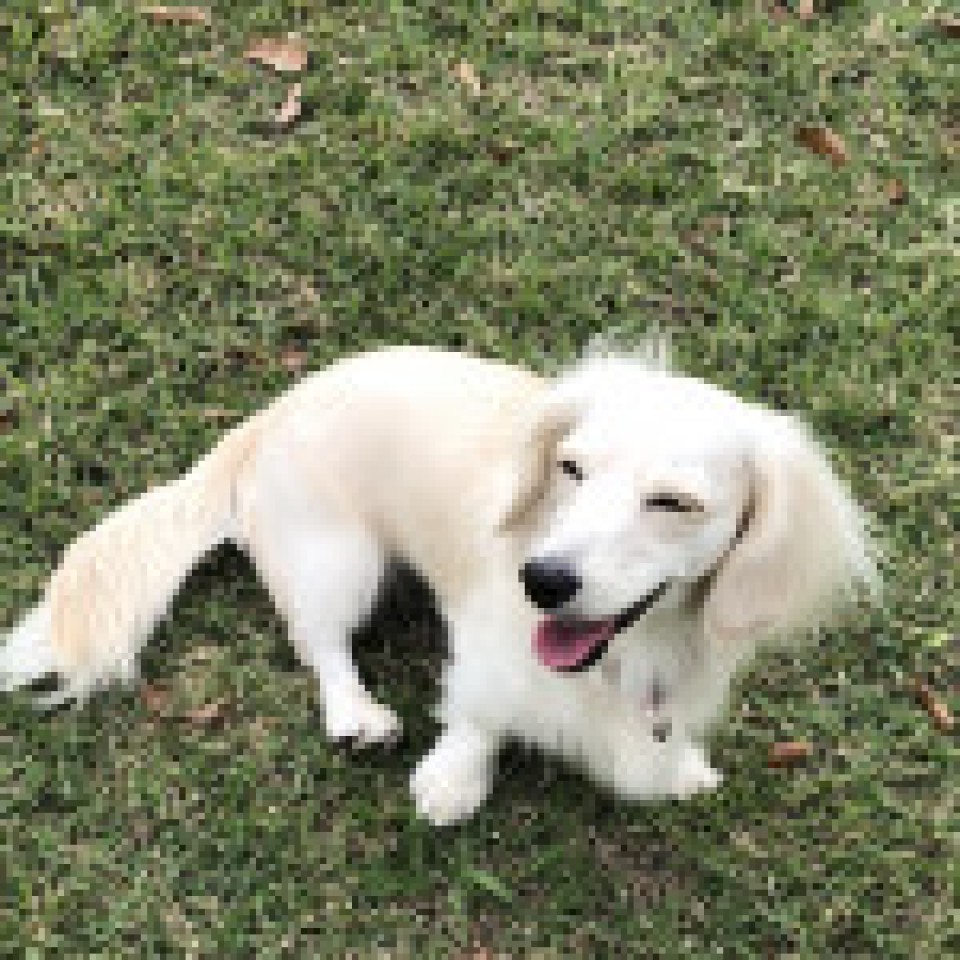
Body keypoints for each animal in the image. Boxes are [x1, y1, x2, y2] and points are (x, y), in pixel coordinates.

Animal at [1, 340, 879, 824]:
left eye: (674, 503)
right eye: (570, 468)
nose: (541, 581)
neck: (630, 659)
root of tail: (270, 414)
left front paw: (682, 769)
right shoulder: (487, 653)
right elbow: (478, 717)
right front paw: (452, 781)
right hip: (341, 564)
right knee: (318, 642)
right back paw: (356, 715)